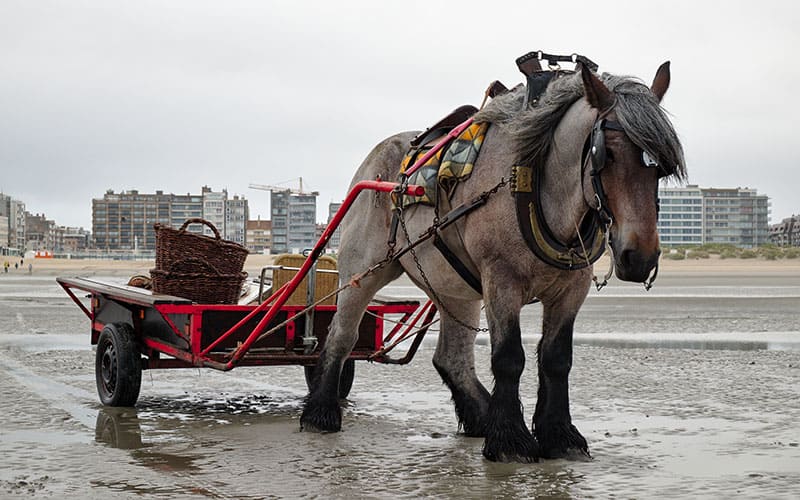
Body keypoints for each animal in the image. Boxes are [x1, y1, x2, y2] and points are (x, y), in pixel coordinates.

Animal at [300, 61, 688, 460]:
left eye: (661, 168)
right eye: (606, 154)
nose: (639, 256)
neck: (537, 186)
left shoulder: (571, 289)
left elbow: (557, 358)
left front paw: (557, 433)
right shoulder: (501, 281)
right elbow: (509, 357)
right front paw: (509, 438)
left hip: (453, 288)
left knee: (451, 357)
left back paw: (481, 415)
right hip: (363, 271)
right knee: (341, 335)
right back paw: (322, 410)